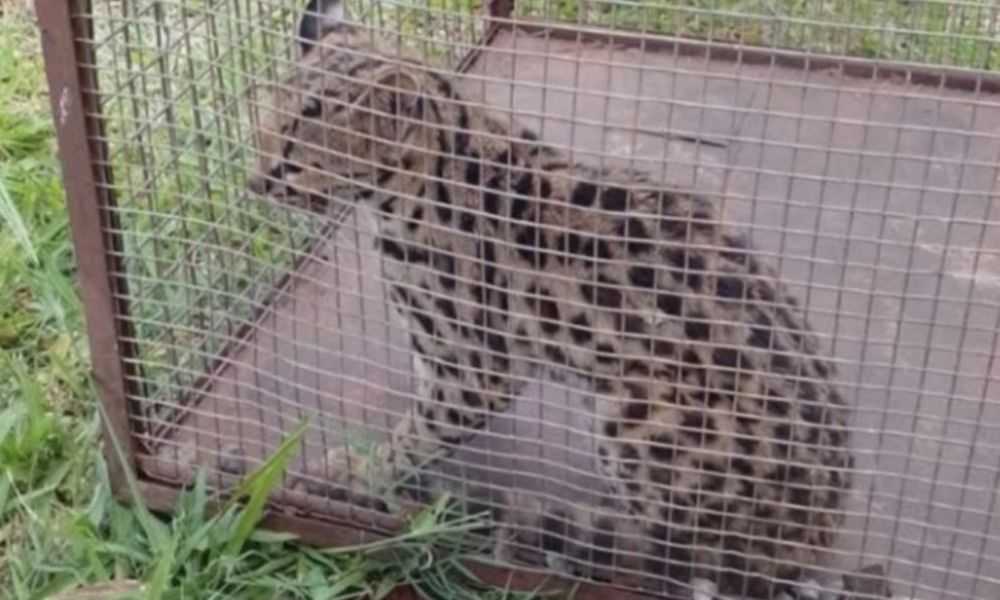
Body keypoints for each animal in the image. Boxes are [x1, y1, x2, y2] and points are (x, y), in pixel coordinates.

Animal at [245, 0, 854, 596]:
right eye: (261, 131)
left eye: (291, 156)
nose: (255, 183)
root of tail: (821, 533)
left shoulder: (474, 368)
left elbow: (418, 431)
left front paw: (362, 471)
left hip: (636, 414)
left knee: (687, 562)